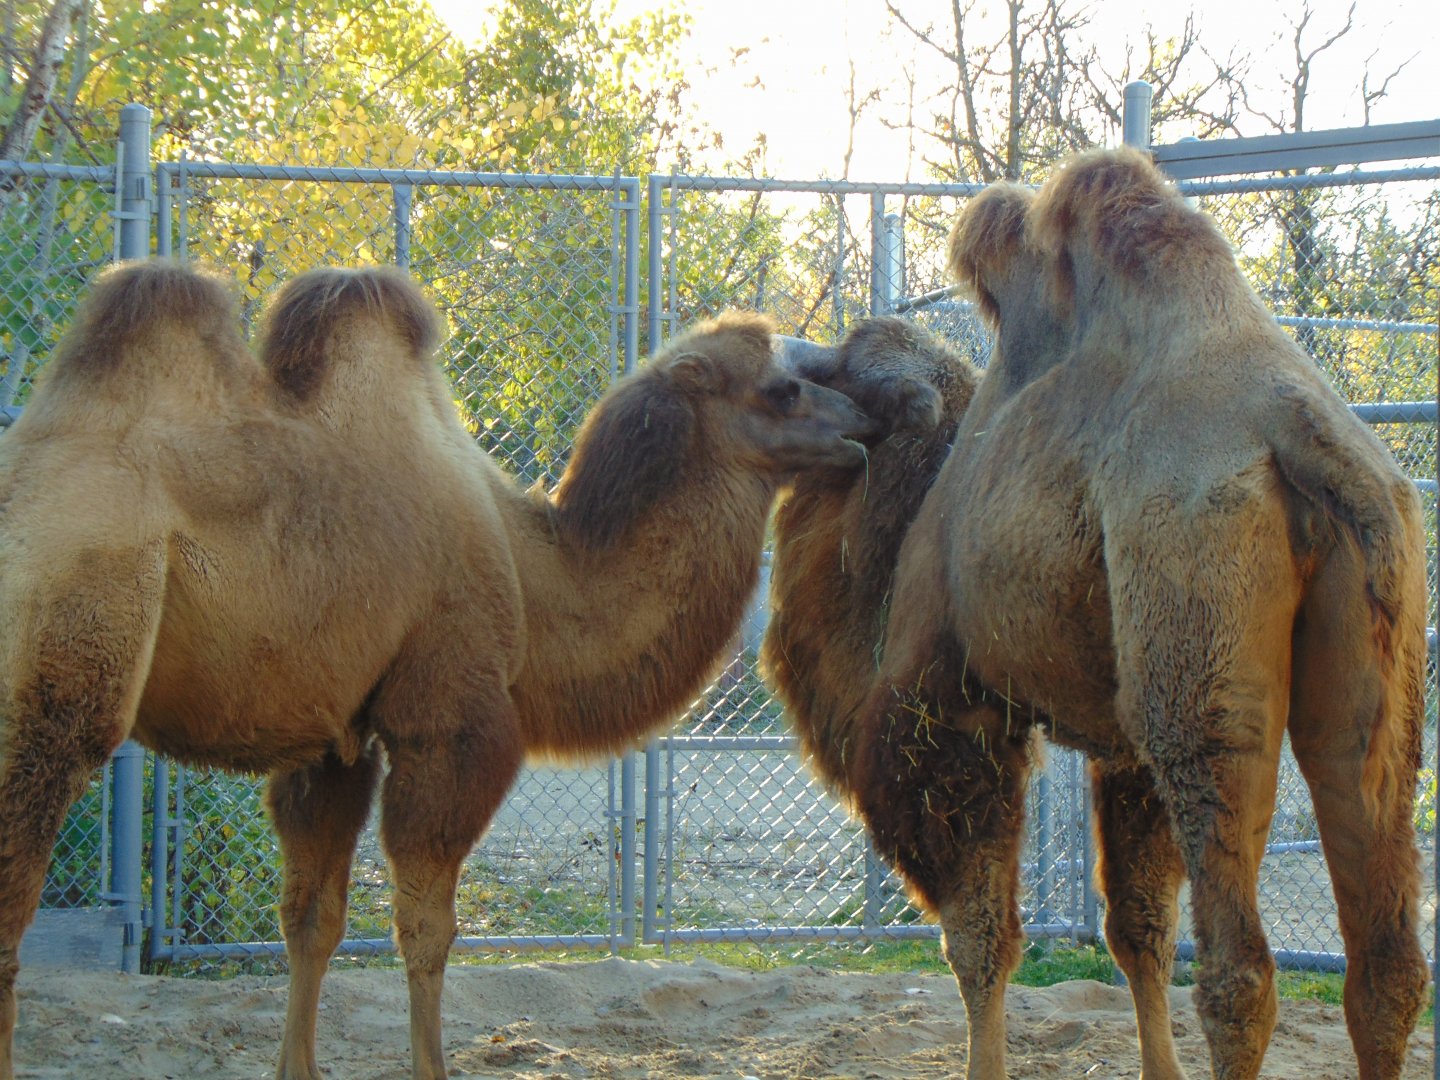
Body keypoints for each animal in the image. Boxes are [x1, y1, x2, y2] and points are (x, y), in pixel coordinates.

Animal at [0, 260, 876, 1080]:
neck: (533, 573)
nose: (862, 422)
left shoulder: (336, 736)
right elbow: (426, 929)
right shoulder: (450, 720)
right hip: (58, 658)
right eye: (782, 389)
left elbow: (312, 917)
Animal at [765, 147, 1429, 1080]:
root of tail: (1301, 433)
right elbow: (1135, 928)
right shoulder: (1122, 750)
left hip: (1197, 672)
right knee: (1382, 953)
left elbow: (979, 937)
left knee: (1237, 971)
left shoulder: (955, 708)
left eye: (847, 376)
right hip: (1376, 655)